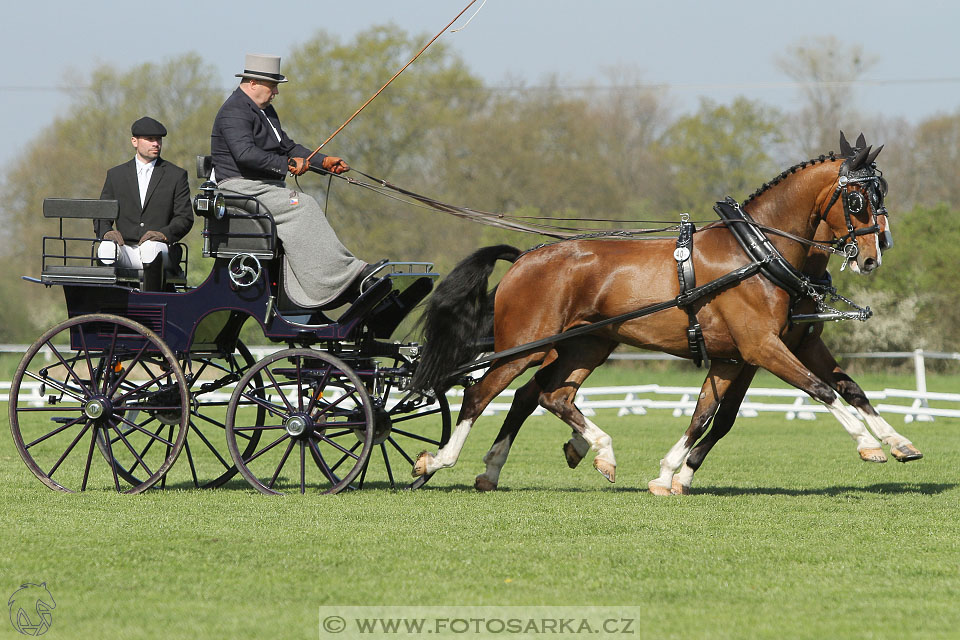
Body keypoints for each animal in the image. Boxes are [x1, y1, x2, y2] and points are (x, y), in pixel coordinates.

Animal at [408, 131, 904, 490]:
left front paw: (899, 441)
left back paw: (582, 455)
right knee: (482, 394)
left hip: (587, 345)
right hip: (525, 346)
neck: (759, 254)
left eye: (882, 195)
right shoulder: (761, 347)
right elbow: (821, 391)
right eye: (857, 200)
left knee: (549, 395)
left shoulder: (748, 353)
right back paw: (438, 461)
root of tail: (526, 257)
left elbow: (717, 413)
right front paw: (869, 445)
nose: (872, 257)